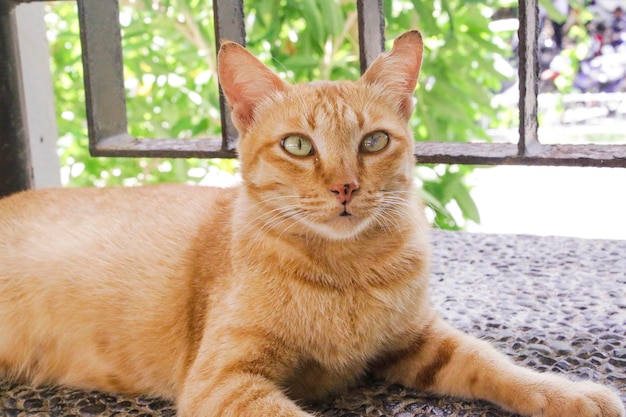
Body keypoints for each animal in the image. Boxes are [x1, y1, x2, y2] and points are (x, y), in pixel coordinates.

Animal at [0, 30, 620, 414]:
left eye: (373, 141)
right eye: (298, 145)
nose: (345, 186)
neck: (346, 271)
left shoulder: (418, 340)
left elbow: (493, 363)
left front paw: (567, 393)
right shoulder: (223, 381)